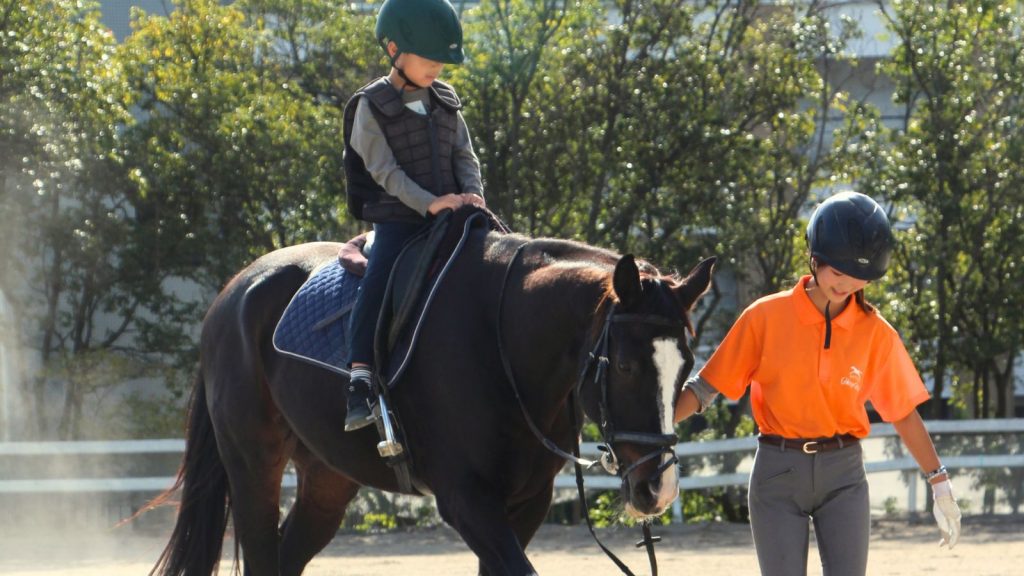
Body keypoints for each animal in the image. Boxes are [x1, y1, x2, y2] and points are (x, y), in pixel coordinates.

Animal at [149, 220, 712, 573]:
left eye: (686, 367)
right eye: (626, 366)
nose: (657, 488)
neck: (500, 340)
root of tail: (232, 295)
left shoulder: (527, 503)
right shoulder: (466, 501)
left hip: (327, 481)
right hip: (253, 468)